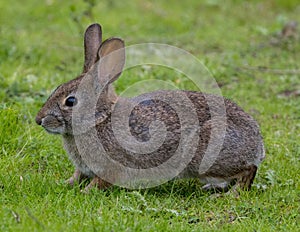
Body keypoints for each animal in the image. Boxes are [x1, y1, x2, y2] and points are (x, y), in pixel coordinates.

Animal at [35, 22, 264, 193]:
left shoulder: (110, 168)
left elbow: (99, 183)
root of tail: (258, 145)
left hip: (206, 158)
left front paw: (85, 192)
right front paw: (64, 183)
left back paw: (230, 194)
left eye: (70, 101)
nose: (39, 119)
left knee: (248, 171)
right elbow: (77, 176)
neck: (99, 119)